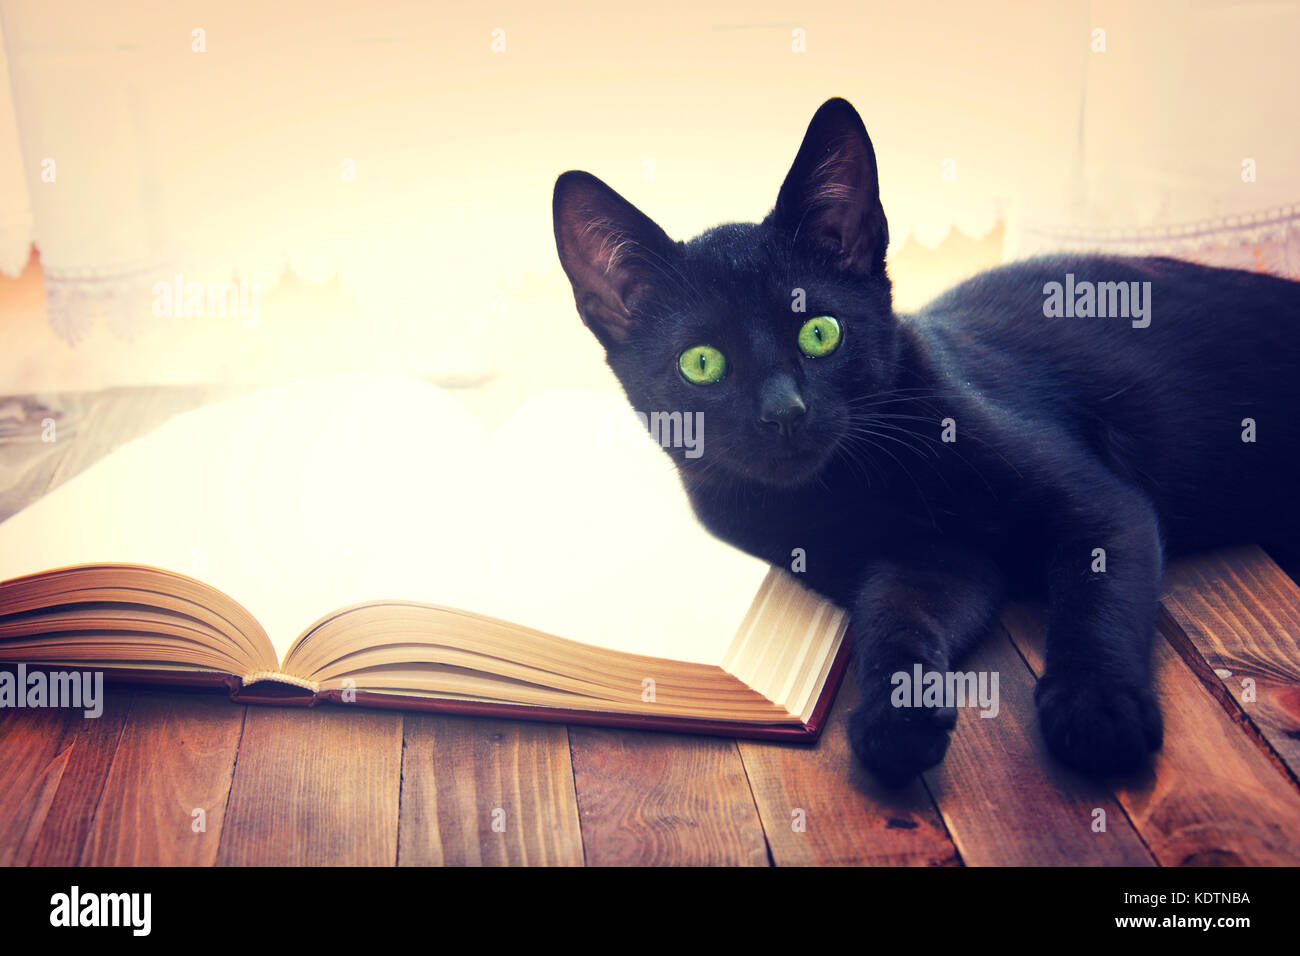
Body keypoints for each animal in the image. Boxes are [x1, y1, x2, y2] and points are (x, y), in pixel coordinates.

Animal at [551, 95, 1300, 785]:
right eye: (702, 363)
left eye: (820, 332)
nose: (784, 411)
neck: (845, 492)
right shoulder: (936, 562)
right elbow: (894, 613)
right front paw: (897, 718)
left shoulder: (1099, 505)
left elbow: (1097, 602)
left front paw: (1098, 708)